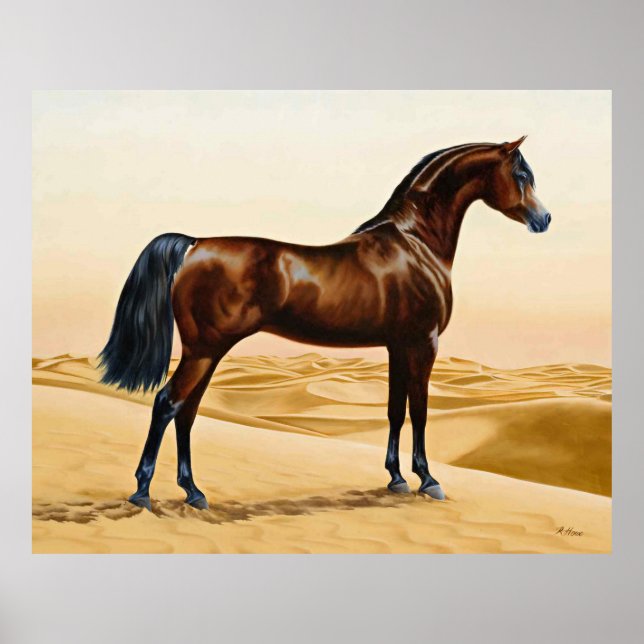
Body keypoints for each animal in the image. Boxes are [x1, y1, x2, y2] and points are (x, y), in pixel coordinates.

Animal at [99, 136, 551, 511]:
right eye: (521, 175)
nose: (543, 219)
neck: (415, 242)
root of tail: (195, 244)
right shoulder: (424, 343)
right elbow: (420, 411)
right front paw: (428, 479)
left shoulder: (397, 344)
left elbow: (395, 410)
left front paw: (396, 478)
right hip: (205, 350)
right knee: (167, 403)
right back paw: (143, 492)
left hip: (205, 352)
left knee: (187, 412)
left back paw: (193, 492)